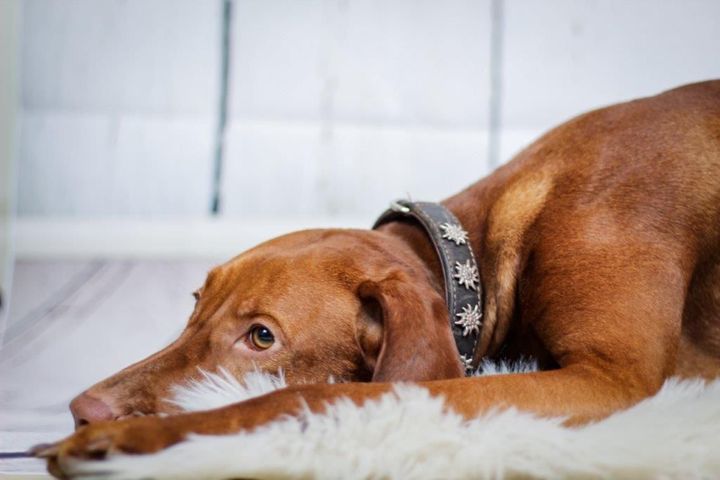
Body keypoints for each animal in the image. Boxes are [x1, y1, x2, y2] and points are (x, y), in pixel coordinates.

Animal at [38, 80, 720, 474]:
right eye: (194, 303)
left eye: (262, 337)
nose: (82, 411)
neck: (479, 248)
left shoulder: (613, 380)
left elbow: (301, 396)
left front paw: (131, 440)